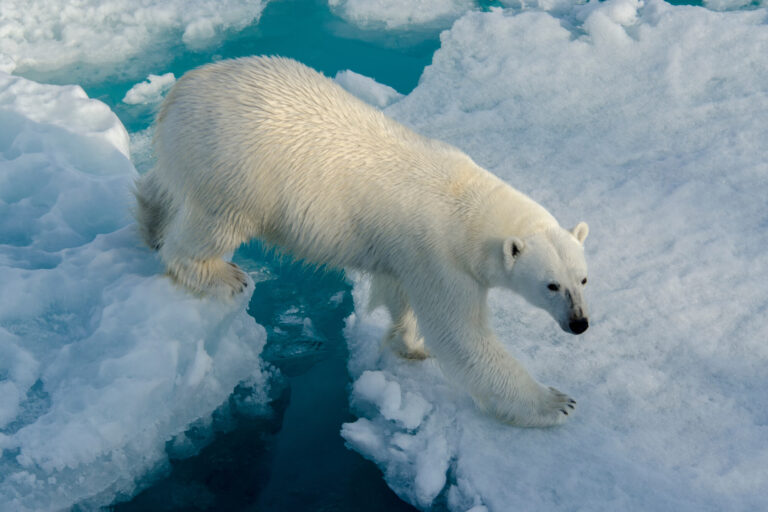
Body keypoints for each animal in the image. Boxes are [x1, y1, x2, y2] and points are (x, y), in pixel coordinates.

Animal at [135, 56, 592, 426]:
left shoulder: (412, 257)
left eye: (584, 279)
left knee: (163, 186)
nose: (580, 323)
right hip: (235, 168)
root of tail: (179, 92)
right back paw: (222, 275)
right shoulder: (441, 255)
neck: (469, 207)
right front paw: (557, 402)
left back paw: (149, 220)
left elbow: (402, 297)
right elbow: (462, 338)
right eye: (551, 285)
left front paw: (411, 344)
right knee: (212, 226)